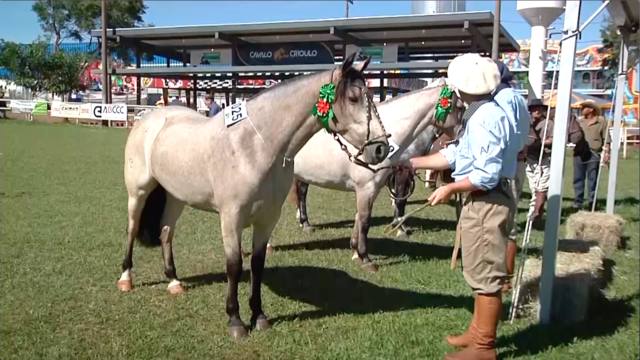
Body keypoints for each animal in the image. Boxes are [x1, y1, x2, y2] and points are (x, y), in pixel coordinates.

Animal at [120, 52, 390, 338]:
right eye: (353, 98)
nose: (381, 148)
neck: (254, 145)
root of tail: (150, 117)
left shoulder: (267, 218)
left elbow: (258, 265)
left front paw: (259, 316)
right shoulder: (231, 218)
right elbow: (234, 265)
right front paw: (235, 321)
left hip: (175, 197)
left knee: (166, 233)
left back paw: (174, 281)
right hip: (138, 193)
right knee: (132, 228)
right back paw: (126, 279)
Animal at [280, 81, 460, 272]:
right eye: (460, 106)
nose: (462, 135)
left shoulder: (372, 188)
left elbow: (360, 217)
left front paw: (355, 252)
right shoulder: (371, 186)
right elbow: (369, 219)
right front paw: (367, 258)